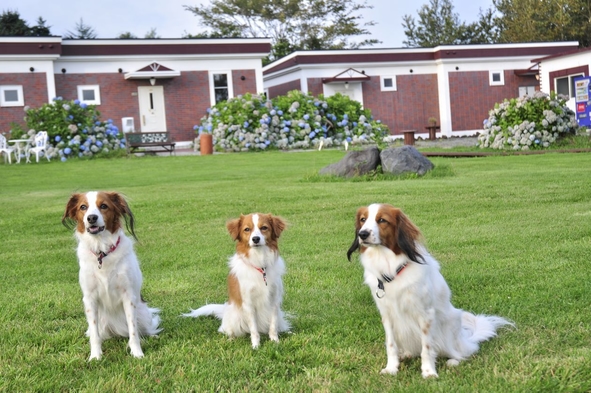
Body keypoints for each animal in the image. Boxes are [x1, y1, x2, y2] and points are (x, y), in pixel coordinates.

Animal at [61, 191, 162, 360]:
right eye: (83, 207)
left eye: (103, 206)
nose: (91, 218)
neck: (102, 252)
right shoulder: (90, 299)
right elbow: (94, 334)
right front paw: (95, 356)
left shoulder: (129, 297)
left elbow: (133, 331)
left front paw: (137, 353)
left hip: (142, 314)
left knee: (145, 328)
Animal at [183, 213, 290, 348]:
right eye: (247, 229)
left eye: (264, 228)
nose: (255, 239)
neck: (260, 264)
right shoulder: (248, 303)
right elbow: (253, 329)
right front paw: (256, 346)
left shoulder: (274, 300)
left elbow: (273, 325)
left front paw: (275, 341)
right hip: (234, 317)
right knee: (229, 330)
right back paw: (231, 339)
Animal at [346, 202, 512, 376]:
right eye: (363, 220)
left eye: (382, 220)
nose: (363, 234)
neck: (390, 266)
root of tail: (466, 338)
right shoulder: (387, 314)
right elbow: (391, 345)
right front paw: (391, 368)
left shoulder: (425, 315)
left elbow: (427, 347)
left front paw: (428, 372)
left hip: (450, 328)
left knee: (464, 352)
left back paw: (453, 360)